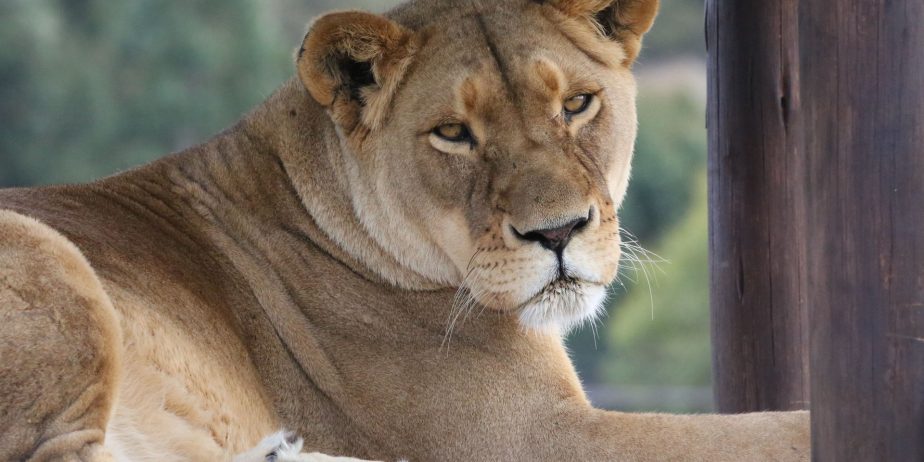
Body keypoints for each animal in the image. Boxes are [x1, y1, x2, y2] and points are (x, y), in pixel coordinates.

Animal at [0, 0, 810, 460]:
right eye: (452, 133)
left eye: (578, 104)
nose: (557, 234)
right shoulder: (530, 440)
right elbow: (768, 434)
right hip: (48, 259)